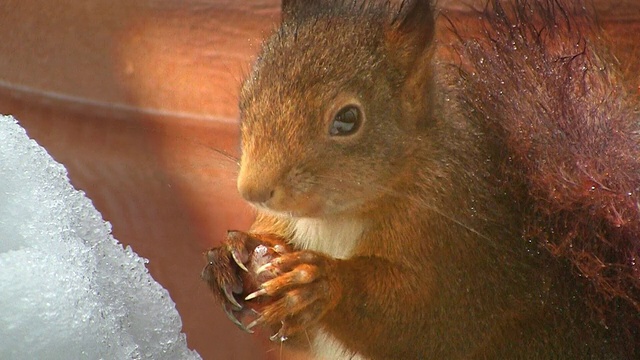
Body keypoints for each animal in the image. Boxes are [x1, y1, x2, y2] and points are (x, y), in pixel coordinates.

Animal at [202, 1, 640, 358]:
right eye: (245, 97)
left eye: (348, 119)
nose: (253, 191)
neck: (334, 219)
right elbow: (294, 336)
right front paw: (230, 253)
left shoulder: (462, 245)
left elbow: (426, 323)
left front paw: (318, 283)